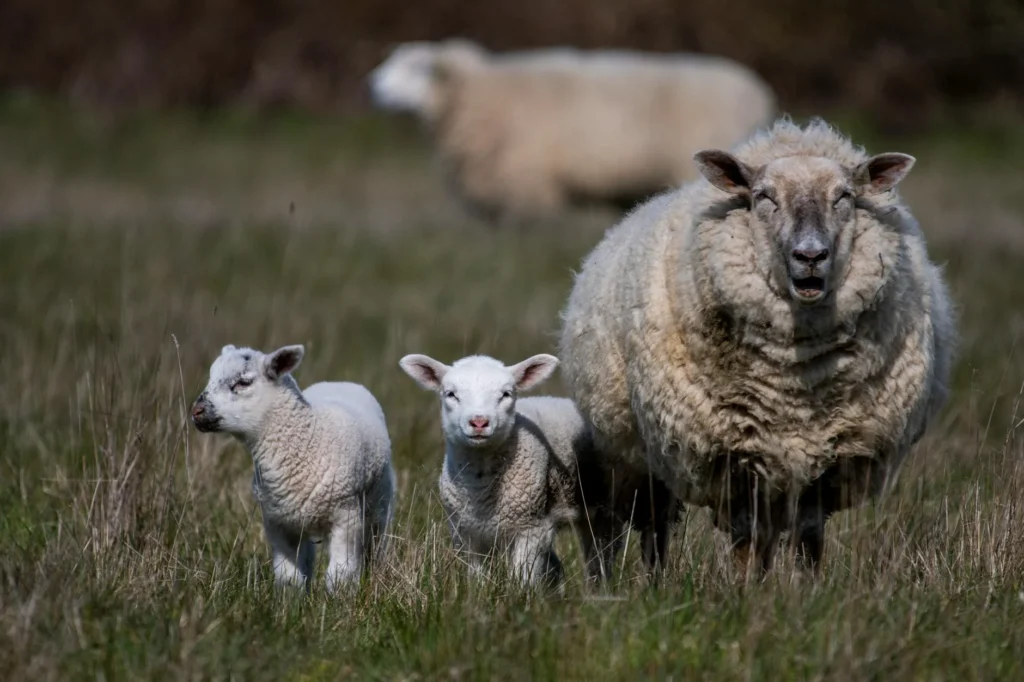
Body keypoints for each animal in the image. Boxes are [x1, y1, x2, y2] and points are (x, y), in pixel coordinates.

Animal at [191, 343, 396, 592]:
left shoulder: (346, 516)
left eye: (243, 382)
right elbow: (289, 578)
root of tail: (338, 382)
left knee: (373, 549)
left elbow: (340, 575)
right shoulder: (278, 524)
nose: (196, 411)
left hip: (378, 508)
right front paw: (291, 602)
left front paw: (341, 600)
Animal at [399, 352, 676, 587]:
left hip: (631, 503)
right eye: (451, 394)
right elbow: (478, 580)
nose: (479, 422)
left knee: (618, 553)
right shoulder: (466, 534)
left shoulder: (530, 528)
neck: (482, 486)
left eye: (506, 394)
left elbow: (522, 577)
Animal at [558, 117, 957, 578]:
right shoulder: (736, 454)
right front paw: (744, 588)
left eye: (844, 196)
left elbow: (807, 536)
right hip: (633, 455)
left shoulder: (827, 456)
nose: (810, 255)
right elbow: (745, 536)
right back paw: (643, 581)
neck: (796, 384)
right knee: (643, 526)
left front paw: (804, 587)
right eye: (764, 197)